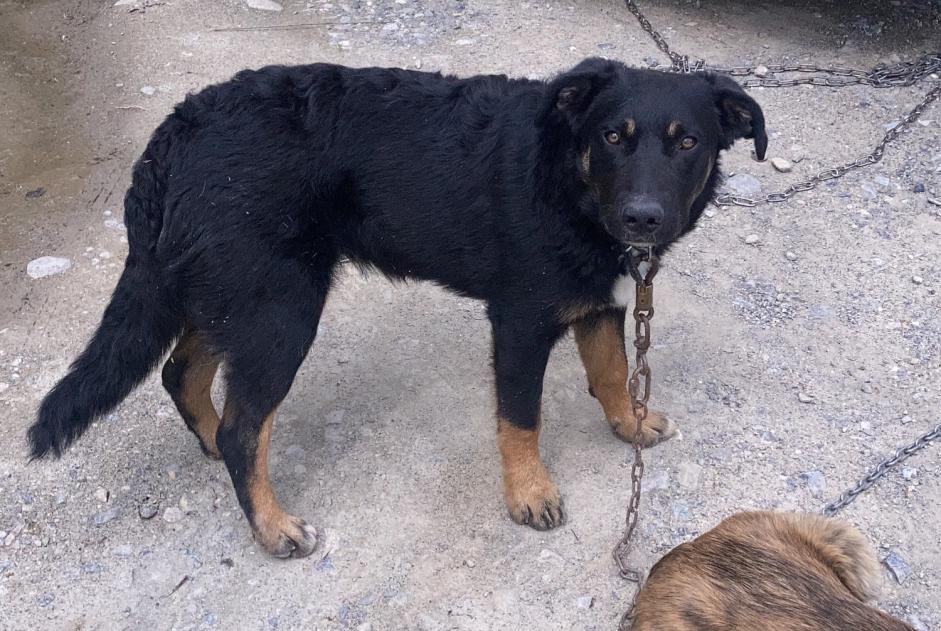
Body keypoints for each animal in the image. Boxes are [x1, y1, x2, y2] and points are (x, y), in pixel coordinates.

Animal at [29, 55, 764, 556]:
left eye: (688, 141)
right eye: (613, 136)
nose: (643, 218)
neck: (566, 179)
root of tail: (174, 135)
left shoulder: (597, 301)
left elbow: (611, 372)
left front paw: (630, 424)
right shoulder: (520, 323)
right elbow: (521, 418)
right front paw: (529, 493)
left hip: (235, 291)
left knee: (184, 374)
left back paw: (212, 442)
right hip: (279, 309)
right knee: (244, 425)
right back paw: (271, 524)